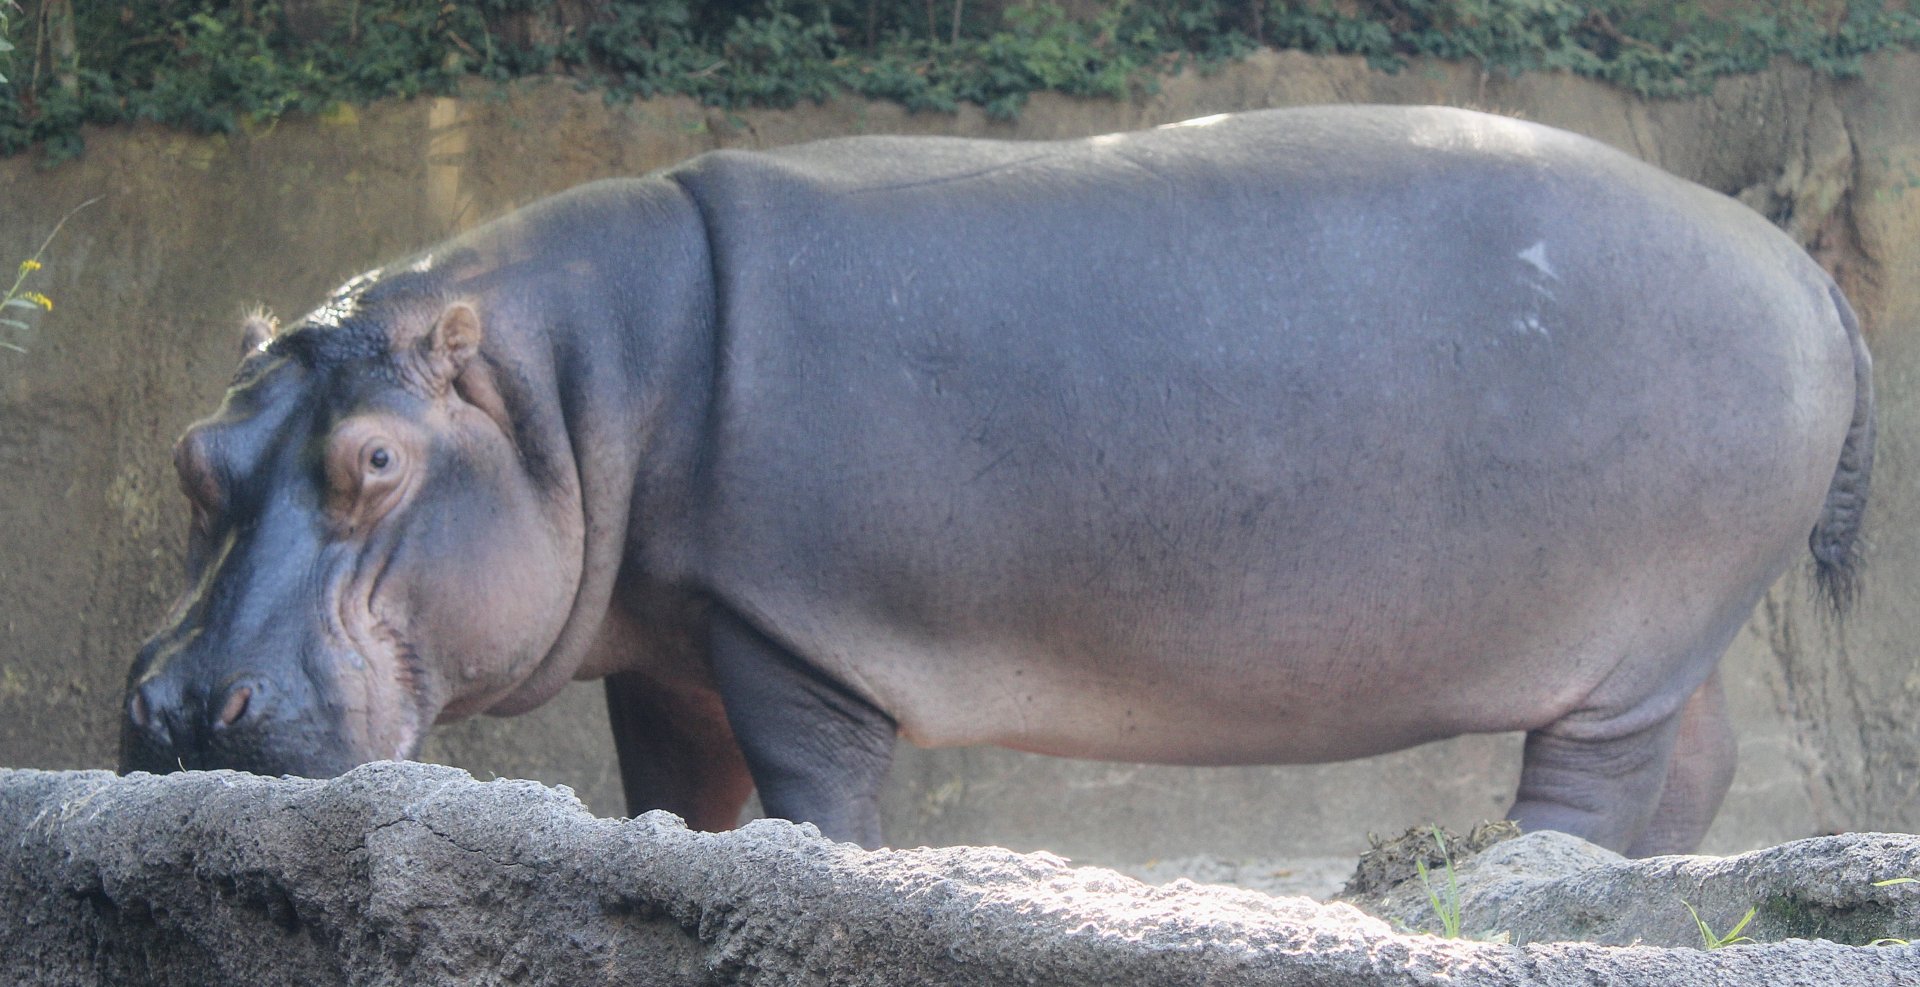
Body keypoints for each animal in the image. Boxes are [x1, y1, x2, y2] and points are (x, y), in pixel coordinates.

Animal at [120, 105, 1873, 856]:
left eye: (374, 459)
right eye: (196, 457)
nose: (174, 705)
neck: (565, 389)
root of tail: (1801, 264)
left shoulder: (790, 622)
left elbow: (813, 780)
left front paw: (822, 862)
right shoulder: (671, 631)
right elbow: (678, 780)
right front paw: (676, 847)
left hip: (1628, 635)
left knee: (1598, 775)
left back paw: (1526, 870)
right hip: (1681, 636)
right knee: (1699, 761)